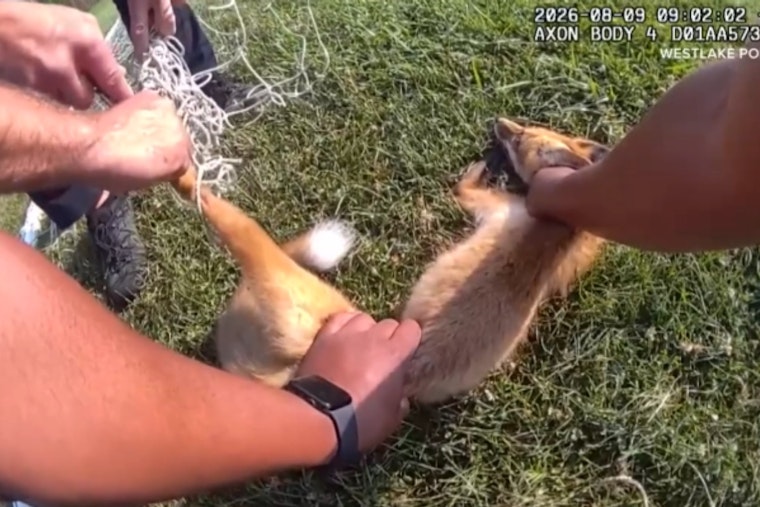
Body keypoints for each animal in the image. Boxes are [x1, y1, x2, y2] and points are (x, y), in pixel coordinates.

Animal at [170, 117, 608, 403]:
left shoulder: (488, 207)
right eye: (531, 125)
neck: (558, 225)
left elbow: (462, 188)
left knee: (215, 208)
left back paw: (181, 169)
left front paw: (477, 169)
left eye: (521, 138)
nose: (499, 123)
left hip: (268, 259)